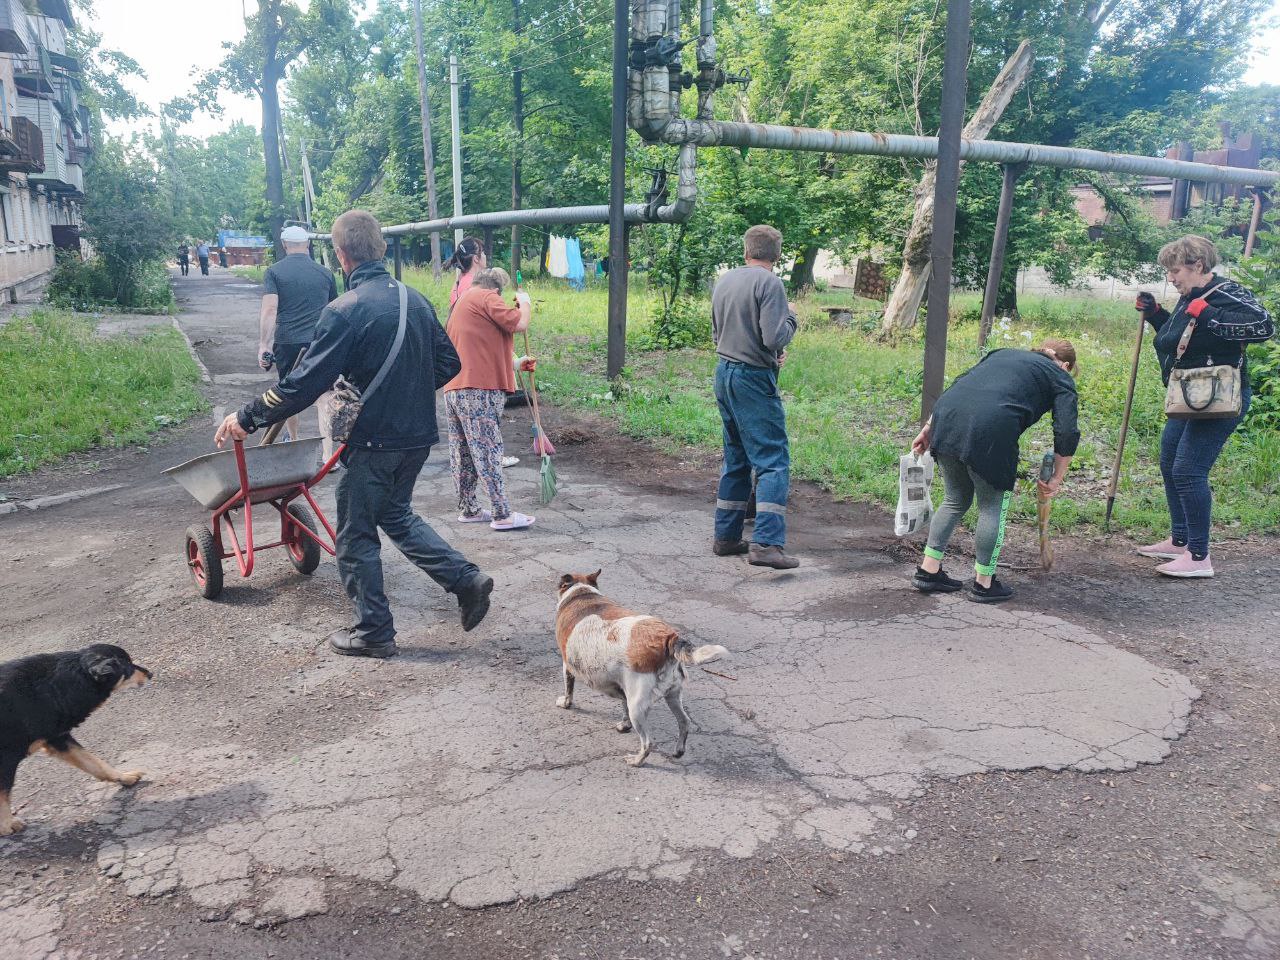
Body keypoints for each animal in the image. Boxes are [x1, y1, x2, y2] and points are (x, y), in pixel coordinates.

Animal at [0, 647, 152, 839]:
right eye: (129, 667)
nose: (150, 674)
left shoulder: (58, 739)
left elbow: (95, 763)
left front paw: (123, 777)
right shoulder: (6, 758)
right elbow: (3, 794)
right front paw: (6, 825)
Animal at [552, 570, 727, 768]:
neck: (582, 592)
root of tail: (668, 638)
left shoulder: (567, 666)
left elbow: (569, 690)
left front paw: (566, 703)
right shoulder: (622, 687)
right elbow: (623, 708)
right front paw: (624, 725)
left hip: (638, 707)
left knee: (648, 743)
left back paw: (636, 761)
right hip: (673, 695)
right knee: (685, 722)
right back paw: (678, 751)